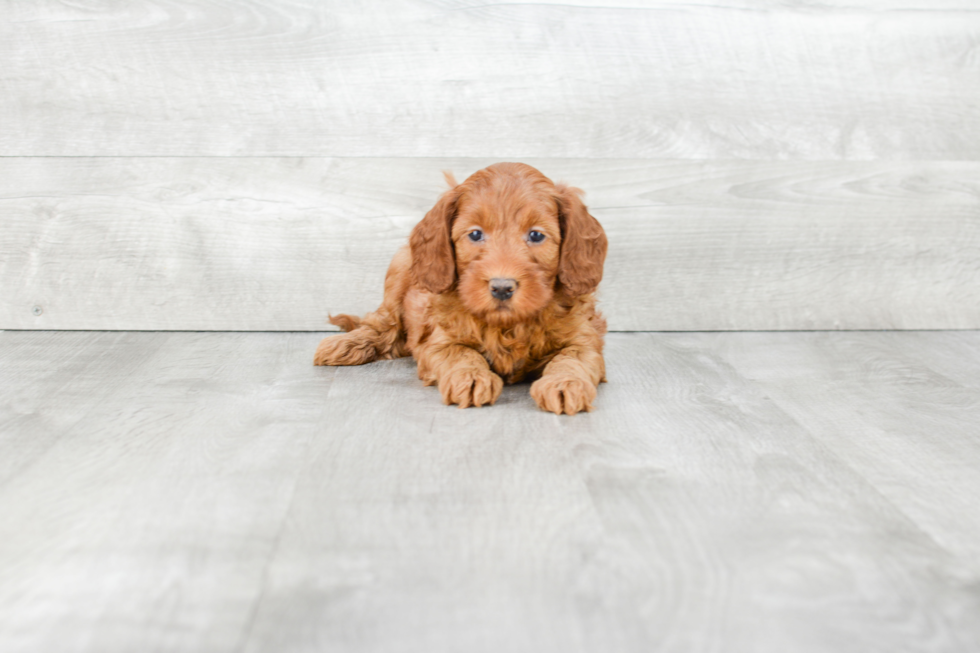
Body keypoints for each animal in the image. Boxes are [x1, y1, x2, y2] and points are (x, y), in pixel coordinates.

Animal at [314, 162, 604, 412]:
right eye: (475, 234)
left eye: (536, 235)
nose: (501, 287)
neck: (507, 326)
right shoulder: (439, 342)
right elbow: (461, 353)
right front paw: (472, 378)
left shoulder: (585, 340)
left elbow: (572, 358)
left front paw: (565, 383)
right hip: (401, 268)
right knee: (383, 323)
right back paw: (346, 344)